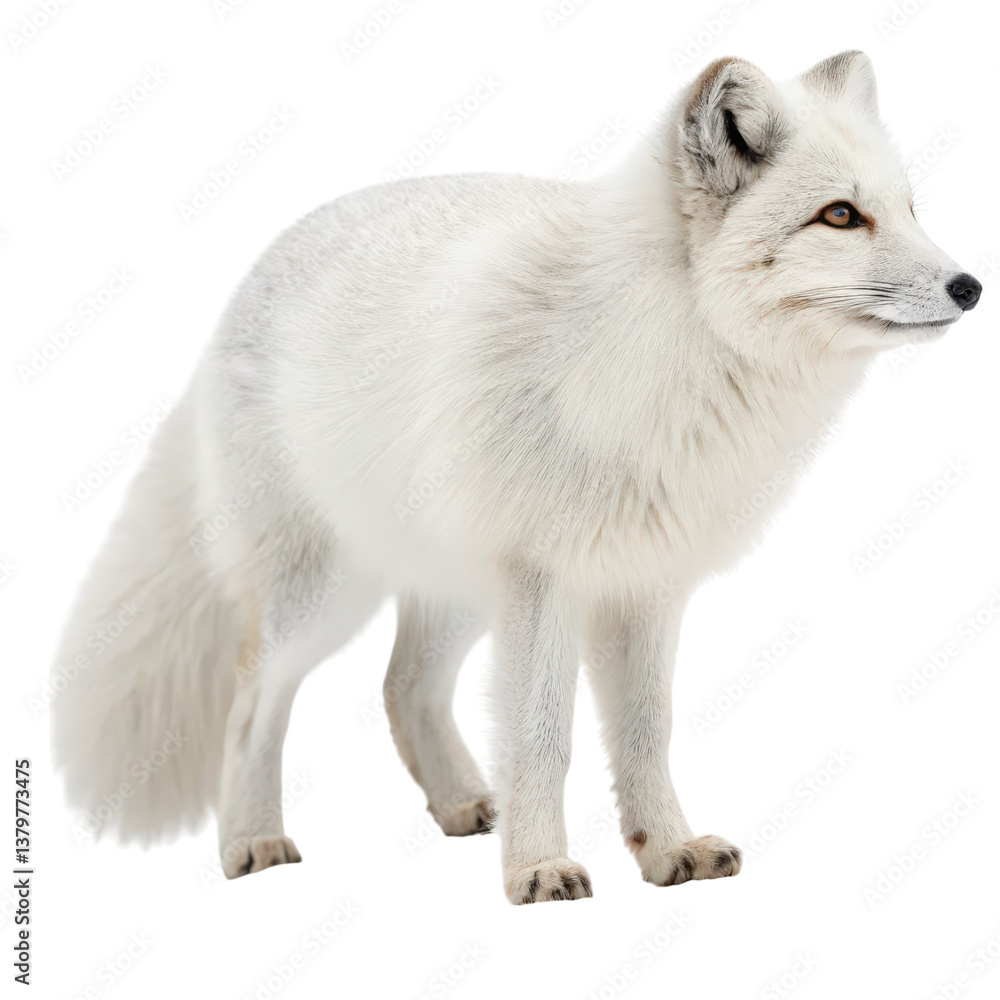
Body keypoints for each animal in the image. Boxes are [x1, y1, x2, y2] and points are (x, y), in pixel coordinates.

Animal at [52, 50, 982, 904]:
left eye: (910, 209)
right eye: (841, 216)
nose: (970, 286)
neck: (666, 343)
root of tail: (247, 281)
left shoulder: (646, 584)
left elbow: (646, 734)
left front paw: (665, 850)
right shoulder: (546, 578)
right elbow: (542, 738)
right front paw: (537, 868)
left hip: (459, 591)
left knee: (403, 687)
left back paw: (464, 804)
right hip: (321, 599)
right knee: (253, 705)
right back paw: (251, 844)